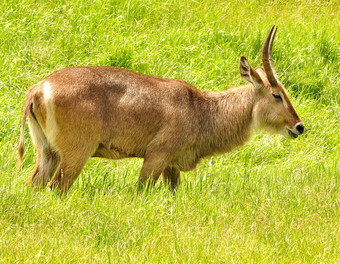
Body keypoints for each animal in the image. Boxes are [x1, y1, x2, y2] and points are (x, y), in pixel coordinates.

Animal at [17, 25, 302, 193]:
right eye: (277, 94)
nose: (299, 126)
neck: (201, 109)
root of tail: (38, 88)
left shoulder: (172, 166)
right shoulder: (156, 157)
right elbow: (141, 191)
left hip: (47, 153)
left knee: (34, 185)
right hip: (76, 155)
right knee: (56, 189)